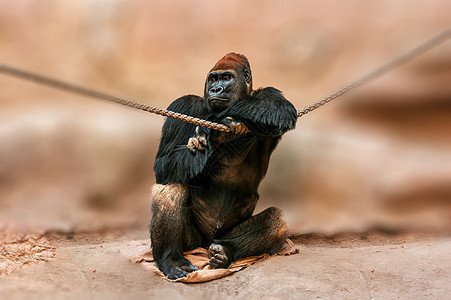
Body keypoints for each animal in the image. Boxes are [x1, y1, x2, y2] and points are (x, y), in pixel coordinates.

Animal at [152, 52, 298, 280]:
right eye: (213, 79)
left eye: (226, 78)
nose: (215, 90)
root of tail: (204, 245)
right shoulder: (182, 105)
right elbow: (163, 162)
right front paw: (213, 130)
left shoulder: (271, 93)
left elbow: (280, 108)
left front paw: (219, 123)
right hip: (193, 243)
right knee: (172, 184)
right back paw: (171, 259)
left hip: (221, 236)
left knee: (278, 220)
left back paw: (225, 253)